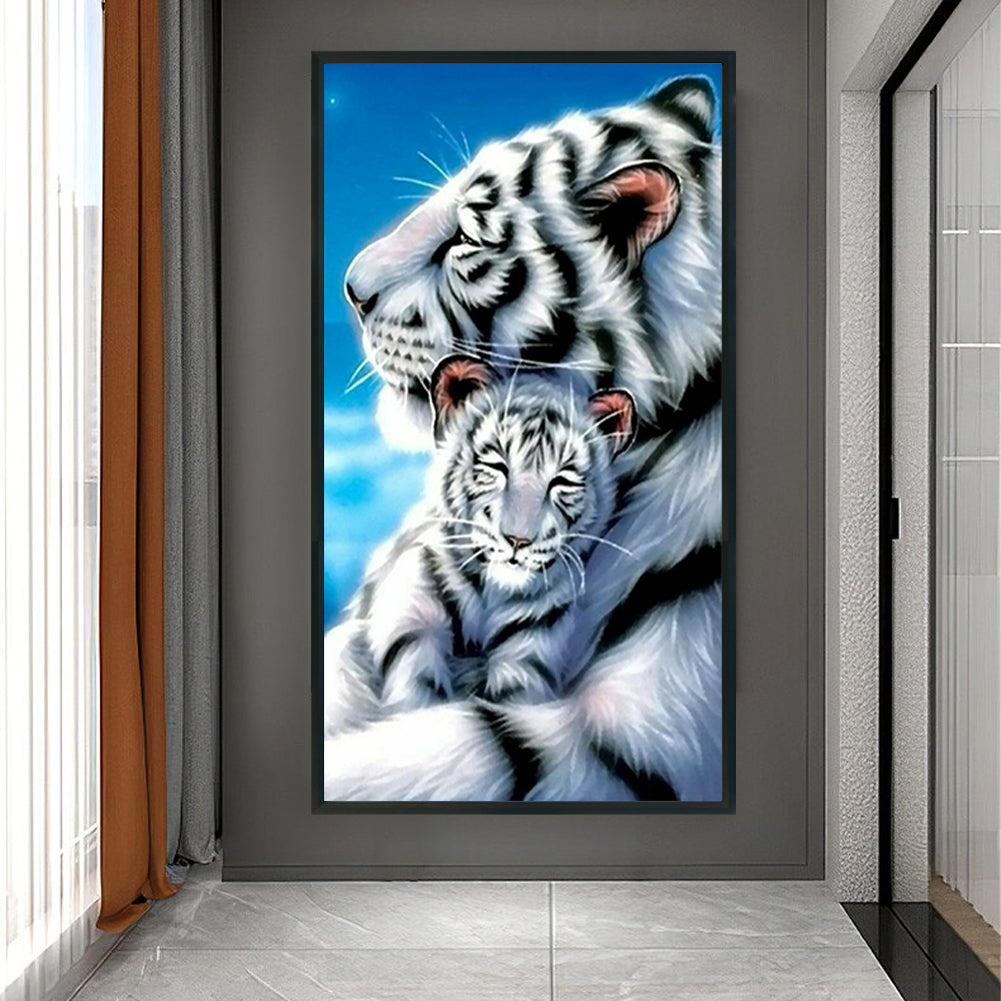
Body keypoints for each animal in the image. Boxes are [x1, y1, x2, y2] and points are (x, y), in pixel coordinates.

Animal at [323, 354, 637, 738]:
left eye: (562, 481)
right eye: (496, 466)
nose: (518, 540)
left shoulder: (528, 654)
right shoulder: (413, 622)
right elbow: (417, 692)